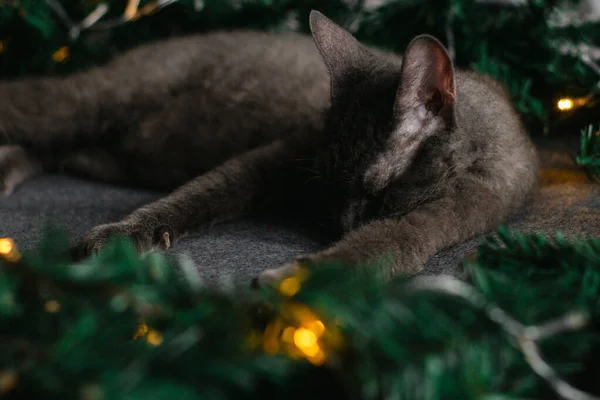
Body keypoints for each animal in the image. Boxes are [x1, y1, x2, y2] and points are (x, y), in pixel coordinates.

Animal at [0, 10, 540, 284]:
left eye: (375, 193)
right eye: (327, 184)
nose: (339, 221)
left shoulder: (455, 215)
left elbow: (386, 244)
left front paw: (293, 280)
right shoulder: (275, 157)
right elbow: (204, 191)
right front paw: (124, 234)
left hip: (98, 145)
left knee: (48, 150)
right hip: (89, 102)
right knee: (34, 109)